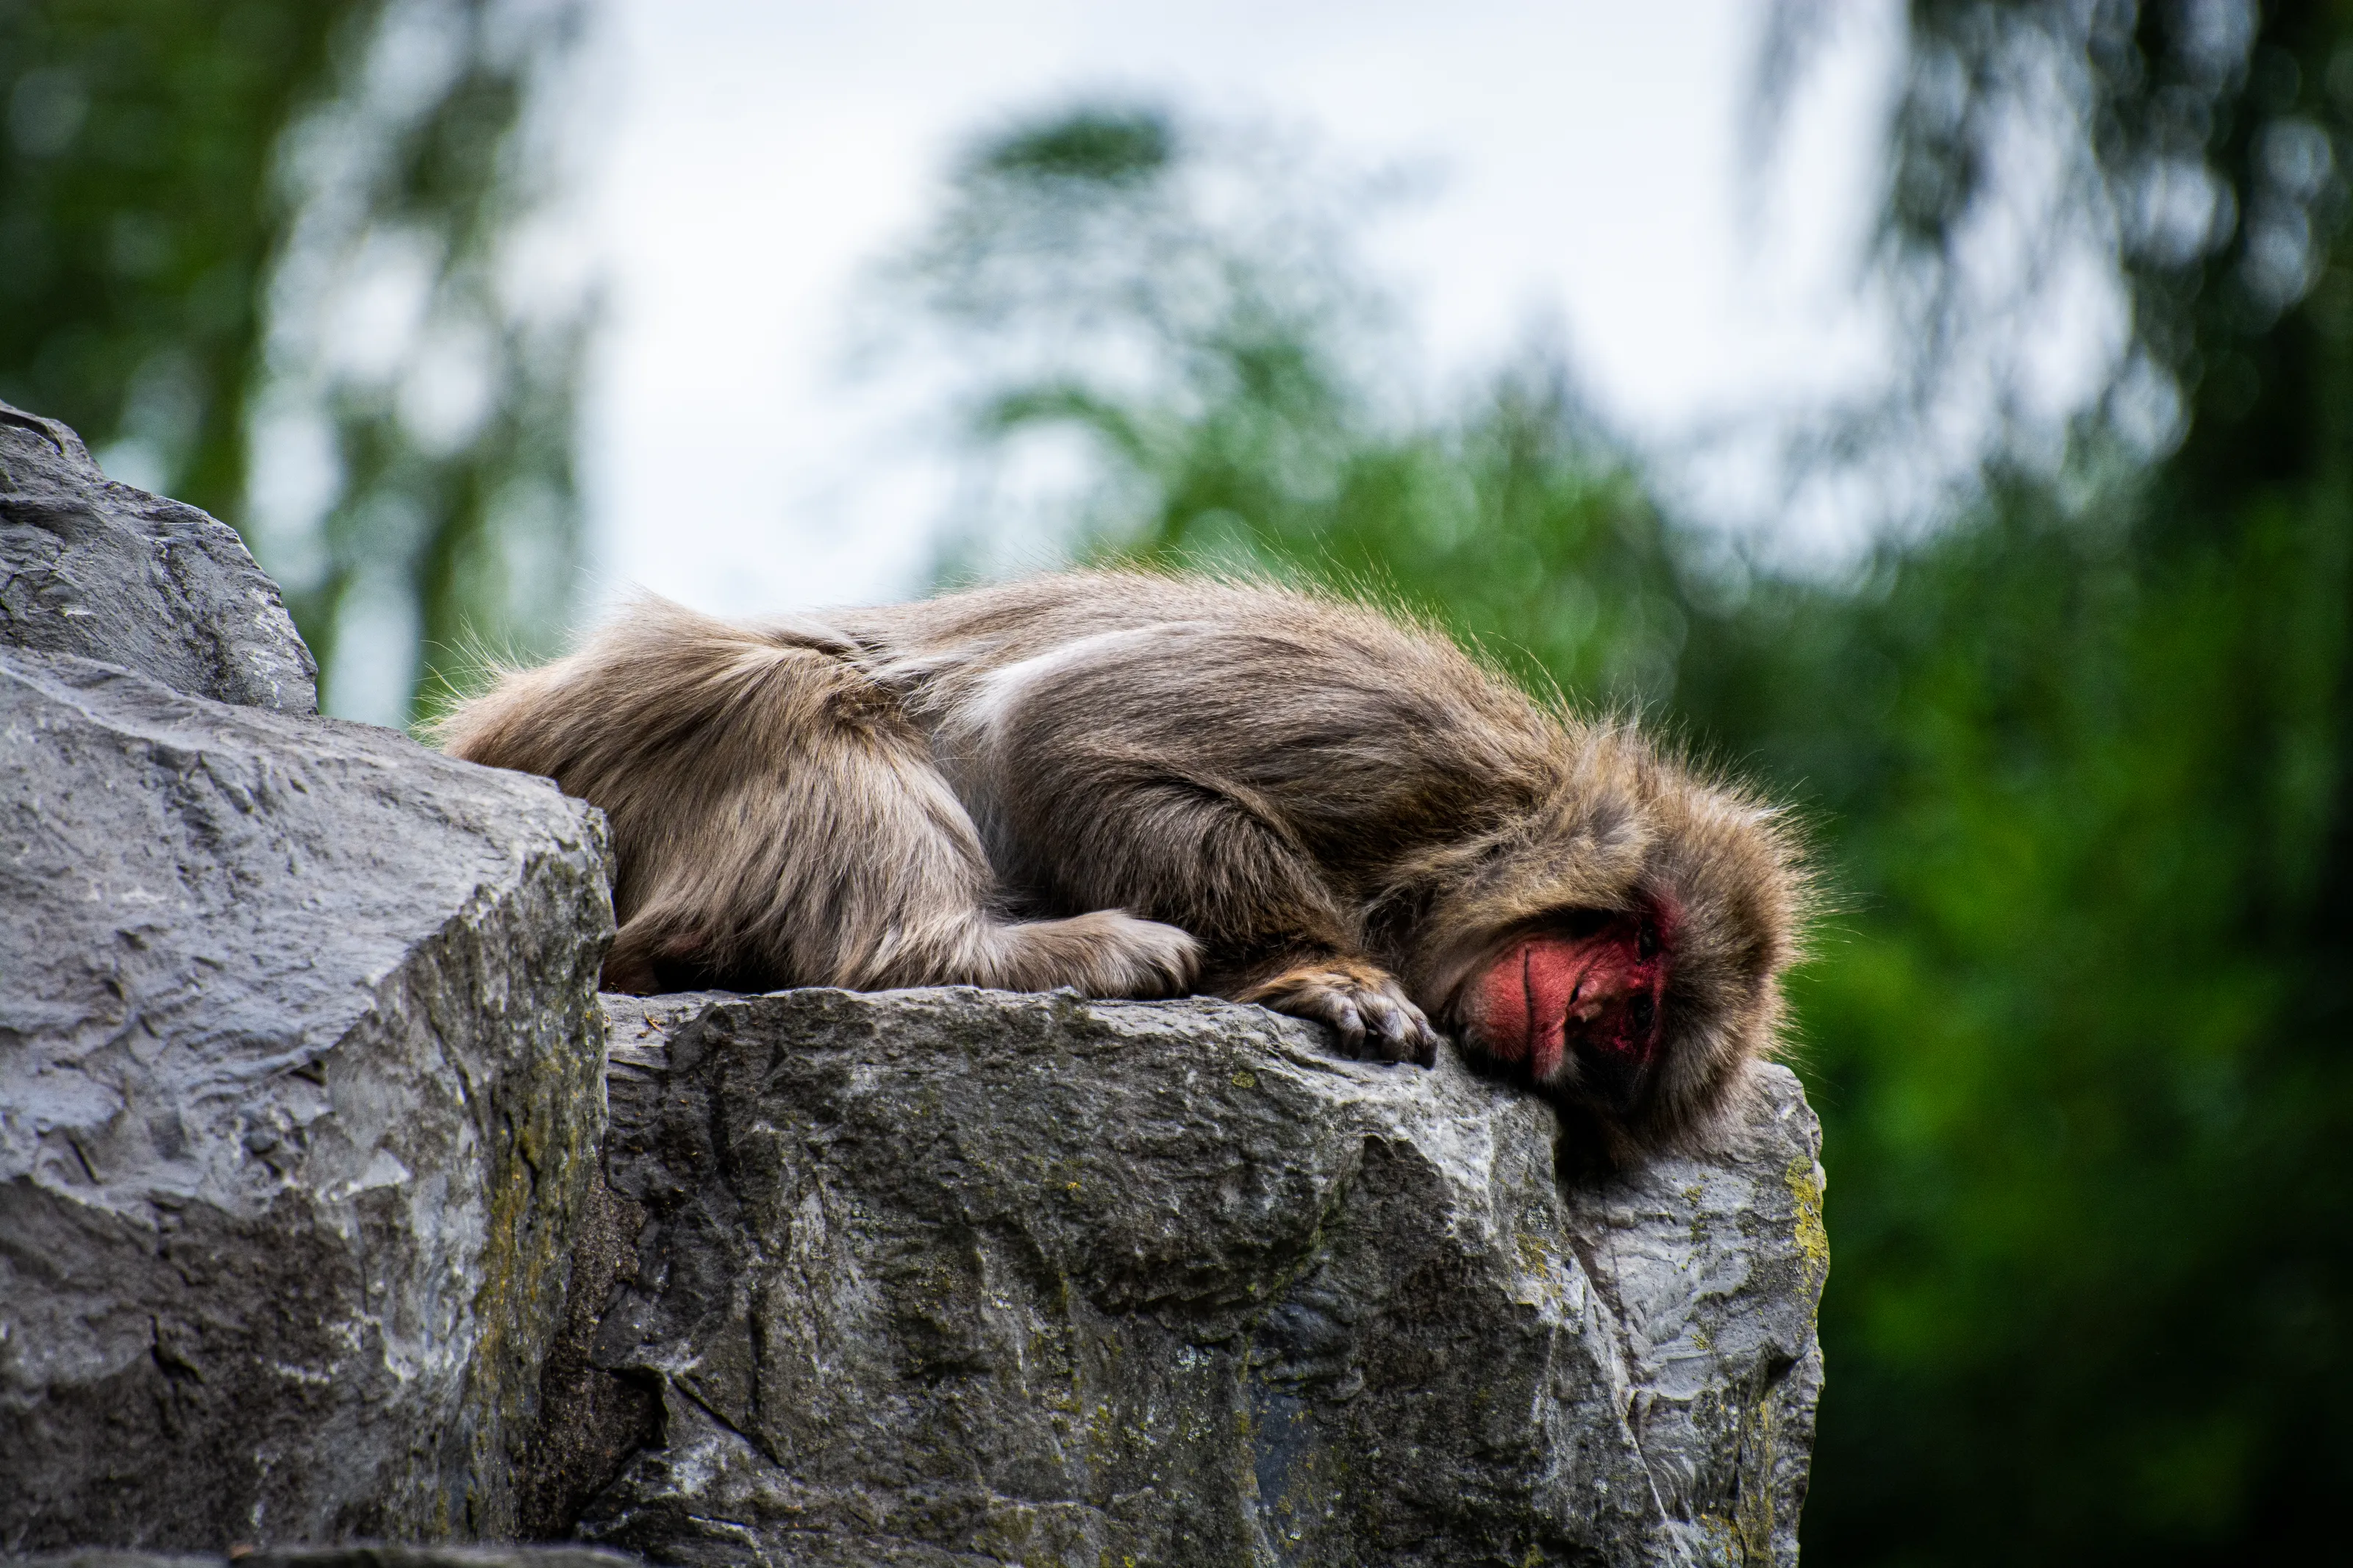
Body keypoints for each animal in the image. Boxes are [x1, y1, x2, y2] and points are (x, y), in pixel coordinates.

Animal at [437, 571, 1806, 1163]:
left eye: (1634, 1028)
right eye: (1634, 951)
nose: (1596, 1008)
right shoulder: (1412, 743)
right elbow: (1071, 729)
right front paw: (1323, 965)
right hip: (616, 726)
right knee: (800, 690)